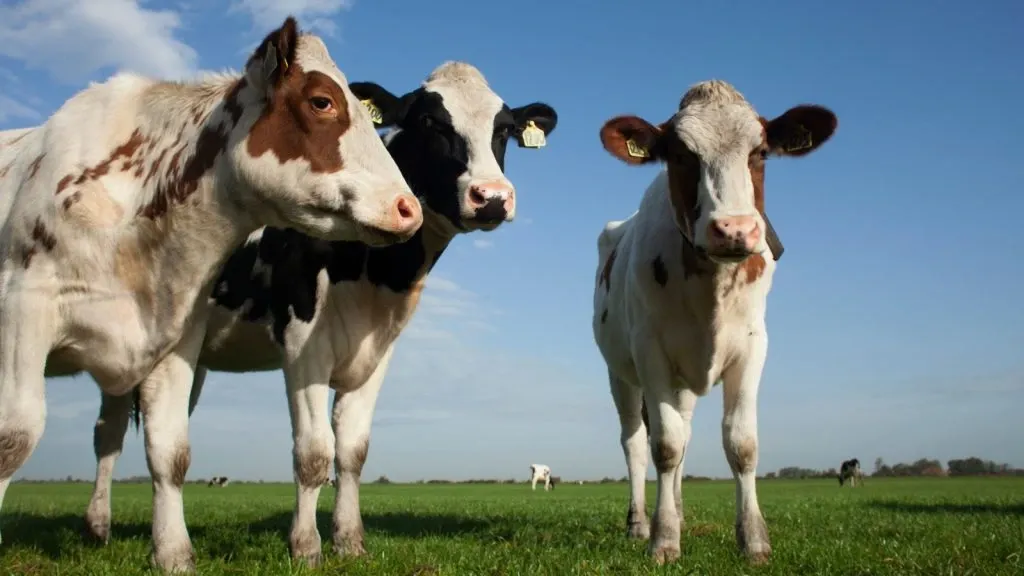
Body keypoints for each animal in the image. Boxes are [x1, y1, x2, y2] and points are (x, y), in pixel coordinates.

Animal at [0, 16, 422, 573]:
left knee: (107, 437)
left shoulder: (175, 337)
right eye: (321, 101)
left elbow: (170, 451)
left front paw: (174, 553)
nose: (408, 208)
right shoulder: (24, 307)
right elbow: (15, 437)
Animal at [81, 61, 558, 567]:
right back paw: (104, 529)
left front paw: (349, 540)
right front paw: (306, 547)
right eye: (430, 121)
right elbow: (313, 454)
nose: (492, 197)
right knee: (110, 434)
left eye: (503, 129)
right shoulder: (303, 344)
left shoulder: (374, 353)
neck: (374, 274)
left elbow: (351, 451)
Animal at [591, 79, 837, 564]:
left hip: (683, 382)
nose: (734, 229)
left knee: (683, 433)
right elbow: (664, 446)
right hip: (620, 374)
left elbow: (741, 444)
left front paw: (754, 540)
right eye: (681, 154)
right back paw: (640, 523)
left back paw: (678, 511)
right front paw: (664, 540)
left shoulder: (753, 345)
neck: (712, 289)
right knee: (636, 443)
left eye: (760, 153)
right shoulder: (649, 351)